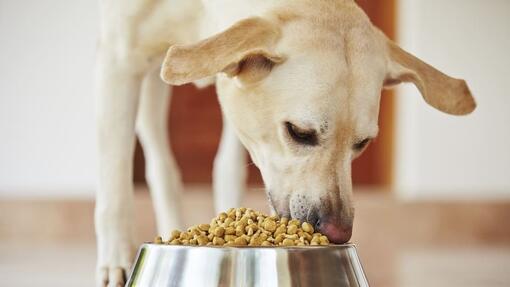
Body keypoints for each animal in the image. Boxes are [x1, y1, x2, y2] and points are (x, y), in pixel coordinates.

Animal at [94, 0, 474, 286]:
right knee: (158, 161)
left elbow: (228, 168)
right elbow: (114, 178)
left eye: (362, 143)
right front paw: (117, 262)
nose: (338, 232)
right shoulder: (120, 59)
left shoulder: (236, 99)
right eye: (299, 132)